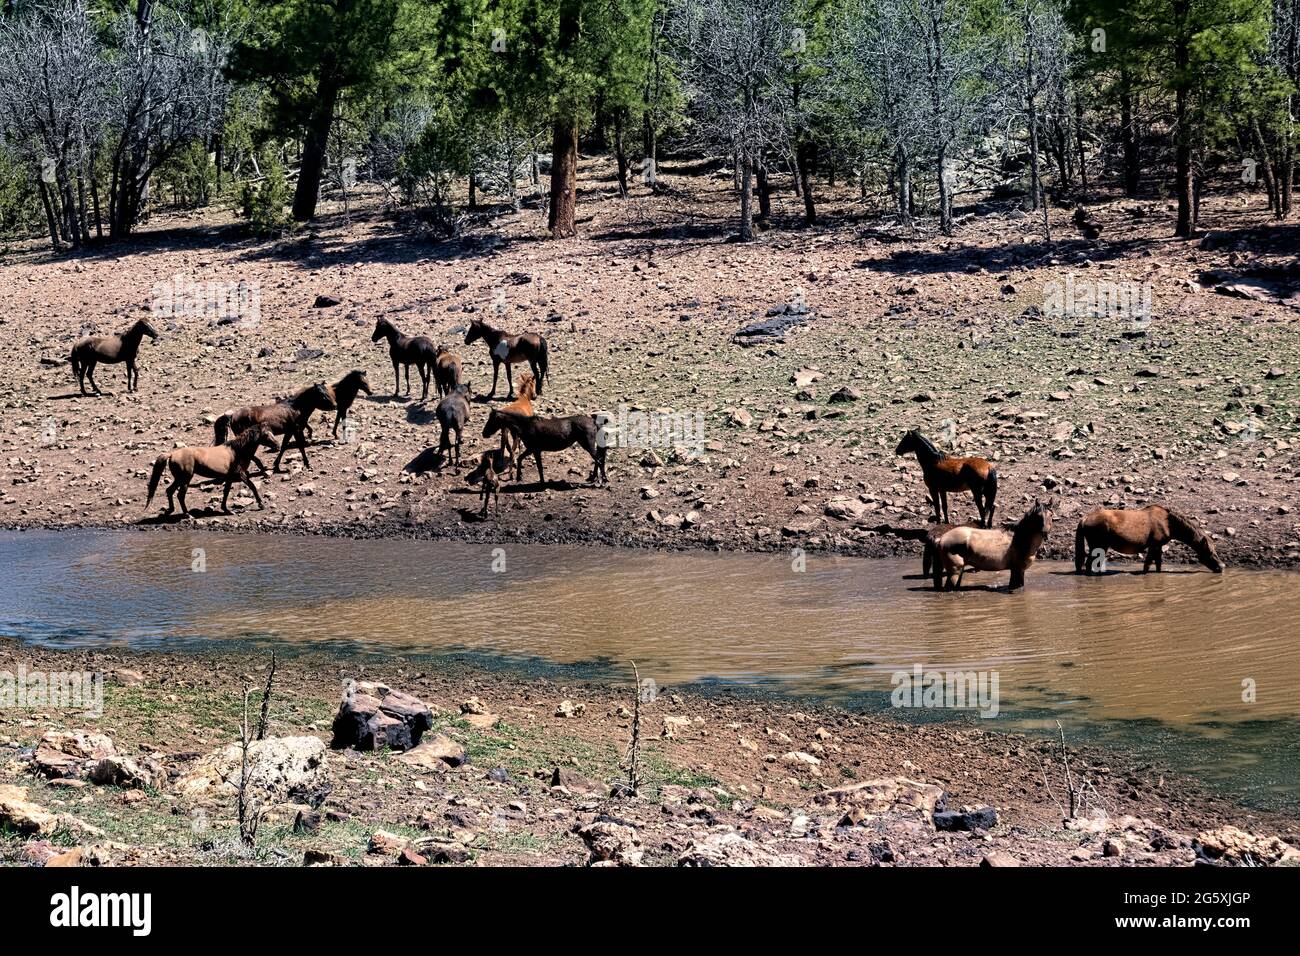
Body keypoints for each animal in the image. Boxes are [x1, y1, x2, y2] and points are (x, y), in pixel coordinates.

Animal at [144, 424, 276, 520]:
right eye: (266, 434)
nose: (277, 446)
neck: (237, 451)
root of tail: (171, 454)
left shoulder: (230, 477)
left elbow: (226, 493)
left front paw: (226, 510)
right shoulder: (240, 474)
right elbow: (252, 486)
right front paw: (261, 504)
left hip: (179, 479)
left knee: (170, 491)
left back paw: (169, 511)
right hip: (185, 479)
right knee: (180, 495)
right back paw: (188, 515)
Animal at [1071, 504, 1222, 572]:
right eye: (1210, 551)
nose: (1222, 567)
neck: (1169, 523)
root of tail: (1085, 518)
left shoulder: (1158, 546)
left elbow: (1158, 563)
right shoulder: (1154, 545)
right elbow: (1148, 564)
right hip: (1098, 546)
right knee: (1089, 564)